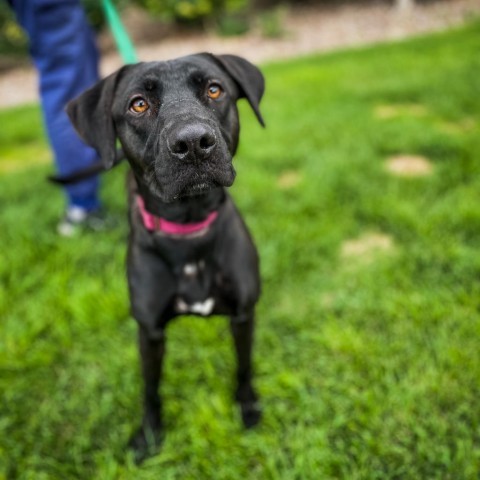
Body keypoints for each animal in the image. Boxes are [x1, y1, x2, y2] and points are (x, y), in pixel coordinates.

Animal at [66, 53, 264, 462]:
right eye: (139, 104)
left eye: (214, 89)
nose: (193, 142)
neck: (188, 227)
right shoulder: (150, 331)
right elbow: (150, 388)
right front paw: (149, 435)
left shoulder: (243, 313)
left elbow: (244, 366)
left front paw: (248, 406)